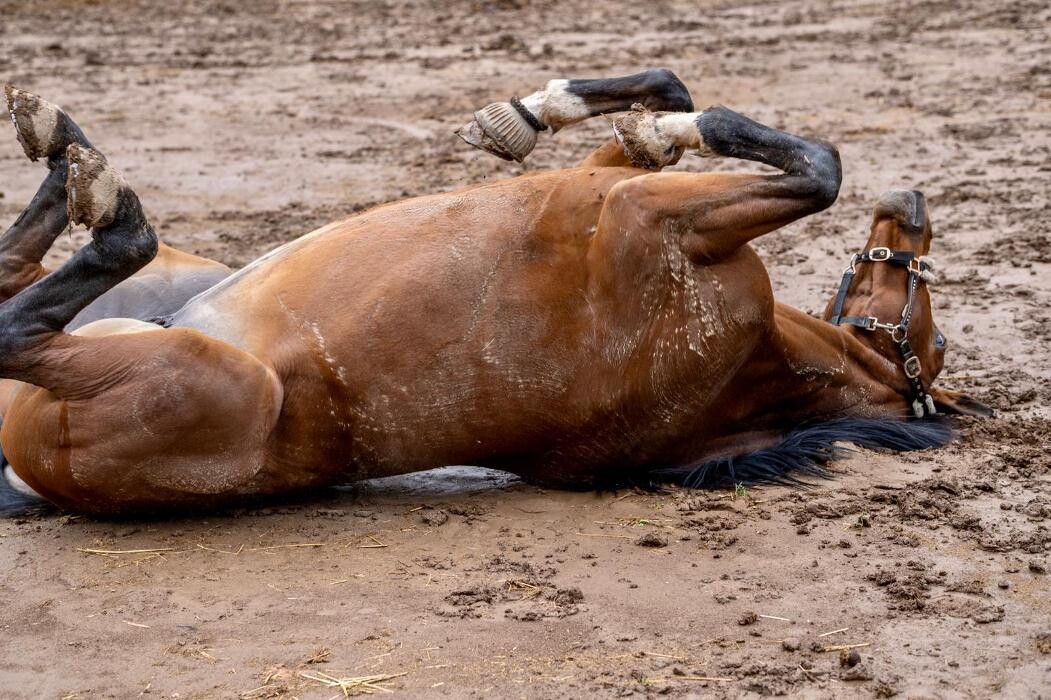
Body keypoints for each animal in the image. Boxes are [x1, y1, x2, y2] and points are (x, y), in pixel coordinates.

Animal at [0, 70, 987, 515]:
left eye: (931, 338)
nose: (912, 209)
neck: (750, 365)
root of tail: (40, 472)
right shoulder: (616, 186)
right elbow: (668, 95)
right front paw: (526, 115)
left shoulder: (648, 215)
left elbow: (814, 166)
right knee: (17, 282)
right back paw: (63, 153)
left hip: (186, 371)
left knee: (24, 321)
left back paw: (93, 183)